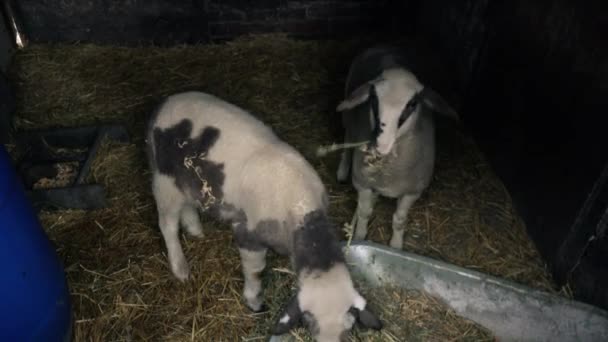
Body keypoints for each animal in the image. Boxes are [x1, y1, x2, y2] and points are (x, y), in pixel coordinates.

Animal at [146, 91, 380, 342]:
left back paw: (195, 230)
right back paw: (180, 268)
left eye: (348, 329)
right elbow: (256, 271)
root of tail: (166, 103)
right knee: (167, 224)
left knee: (188, 206)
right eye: (309, 325)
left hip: (187, 183)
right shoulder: (248, 233)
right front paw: (255, 303)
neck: (303, 210)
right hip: (163, 179)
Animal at [338, 44, 456, 248]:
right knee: (347, 141)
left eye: (413, 104)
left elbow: (399, 220)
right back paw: (342, 170)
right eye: (373, 99)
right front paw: (360, 236)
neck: (390, 171)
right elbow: (364, 212)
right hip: (348, 118)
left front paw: (396, 245)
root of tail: (385, 46)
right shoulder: (362, 183)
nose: (381, 144)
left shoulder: (412, 192)